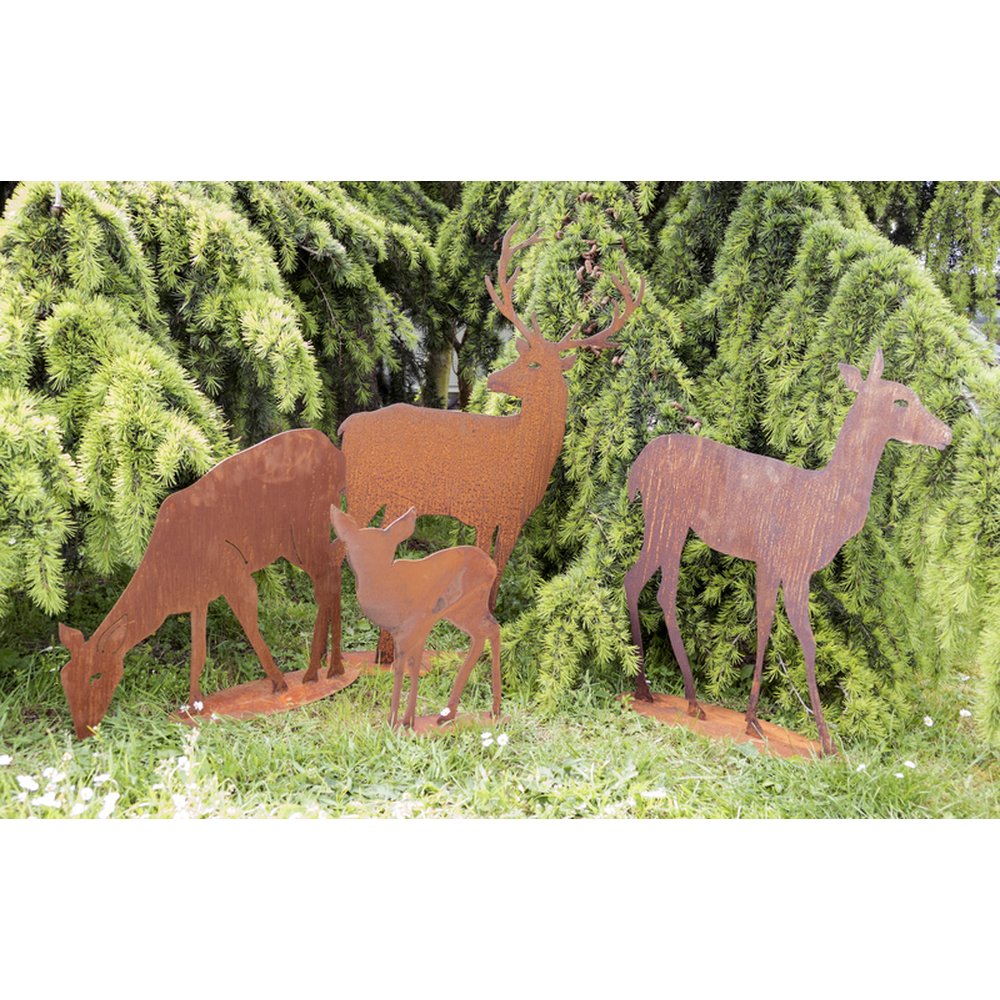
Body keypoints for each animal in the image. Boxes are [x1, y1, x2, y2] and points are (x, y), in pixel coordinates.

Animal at [59, 429, 346, 739]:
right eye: (65, 679)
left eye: (96, 676)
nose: (83, 732)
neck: (165, 590)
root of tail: (336, 455)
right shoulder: (199, 597)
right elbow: (198, 652)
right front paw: (194, 705)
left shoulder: (233, 572)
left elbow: (249, 627)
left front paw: (279, 683)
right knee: (334, 567)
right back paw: (328, 668)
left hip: (304, 529)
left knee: (328, 578)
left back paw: (318, 672)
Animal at [331, 505, 501, 729]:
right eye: (353, 547)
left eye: (387, 549)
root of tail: (492, 566)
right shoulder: (414, 631)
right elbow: (413, 666)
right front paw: (408, 721)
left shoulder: (409, 630)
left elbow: (401, 668)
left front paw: (393, 722)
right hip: (463, 610)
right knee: (485, 633)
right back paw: (457, 713)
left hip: (470, 603)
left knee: (491, 630)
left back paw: (491, 711)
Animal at [338, 222, 644, 661]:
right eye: (522, 355)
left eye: (533, 365)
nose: (495, 379)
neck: (522, 452)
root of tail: (347, 425)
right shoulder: (483, 509)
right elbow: (483, 567)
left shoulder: (514, 516)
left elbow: (499, 569)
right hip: (363, 488)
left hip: (392, 500)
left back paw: (383, 652)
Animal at [624, 349, 951, 756]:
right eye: (902, 401)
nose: (947, 434)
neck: (826, 504)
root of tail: (637, 468)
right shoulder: (788, 560)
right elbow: (798, 638)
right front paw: (821, 740)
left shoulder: (779, 565)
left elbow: (773, 628)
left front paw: (758, 722)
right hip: (668, 516)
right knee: (654, 586)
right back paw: (677, 698)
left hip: (667, 522)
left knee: (644, 583)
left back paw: (660, 694)